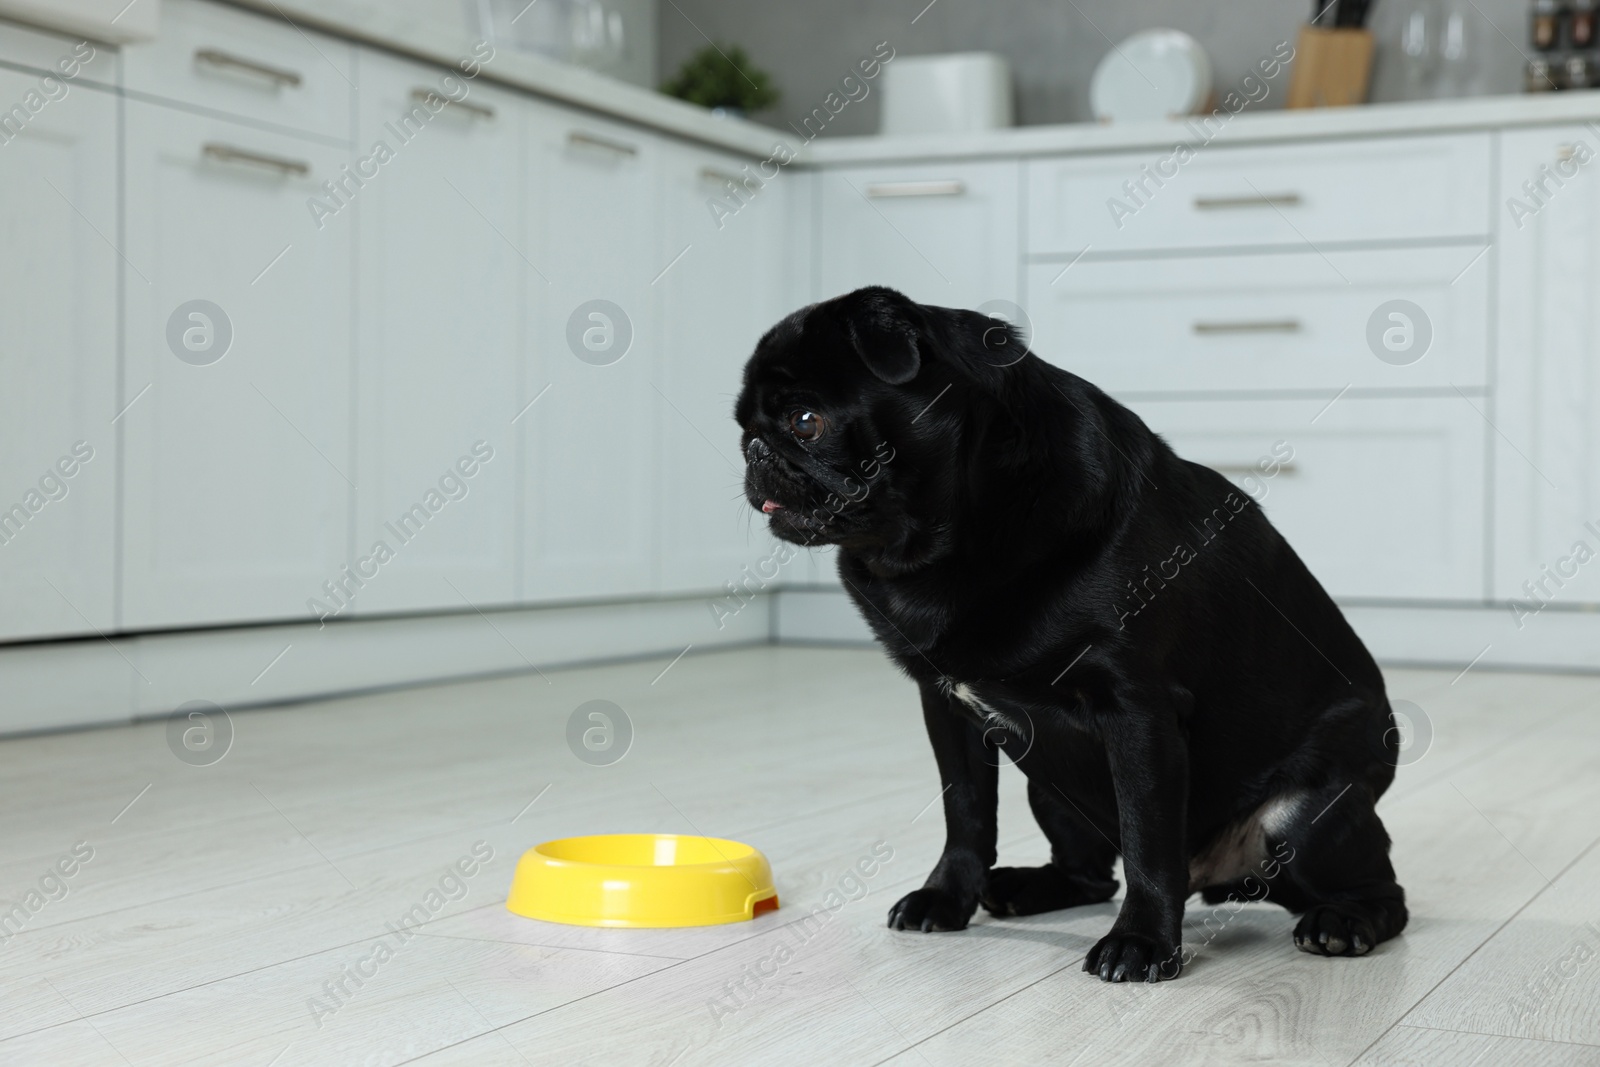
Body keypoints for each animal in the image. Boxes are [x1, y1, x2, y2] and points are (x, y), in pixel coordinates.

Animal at [732, 286, 1408, 985]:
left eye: (806, 421)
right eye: (742, 426)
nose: (754, 450)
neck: (950, 544)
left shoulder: (1136, 712)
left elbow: (1147, 839)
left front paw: (1141, 943)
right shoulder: (946, 709)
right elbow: (965, 815)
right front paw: (946, 898)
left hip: (1302, 817)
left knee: (1385, 894)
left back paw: (1342, 923)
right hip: (1049, 785)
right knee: (1089, 873)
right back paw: (1021, 887)